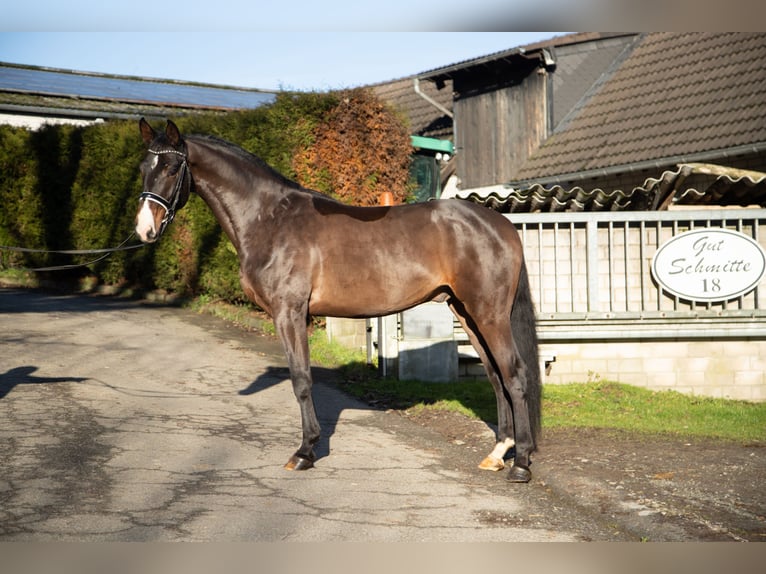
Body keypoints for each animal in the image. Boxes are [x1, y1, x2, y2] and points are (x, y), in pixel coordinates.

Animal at [135, 119, 544, 484]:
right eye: (143, 168)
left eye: (171, 167)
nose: (144, 229)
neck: (270, 219)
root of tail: (502, 225)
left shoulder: (289, 313)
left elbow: (301, 380)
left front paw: (304, 453)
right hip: (466, 312)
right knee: (494, 375)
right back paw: (497, 454)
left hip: (489, 314)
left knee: (515, 373)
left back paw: (522, 464)